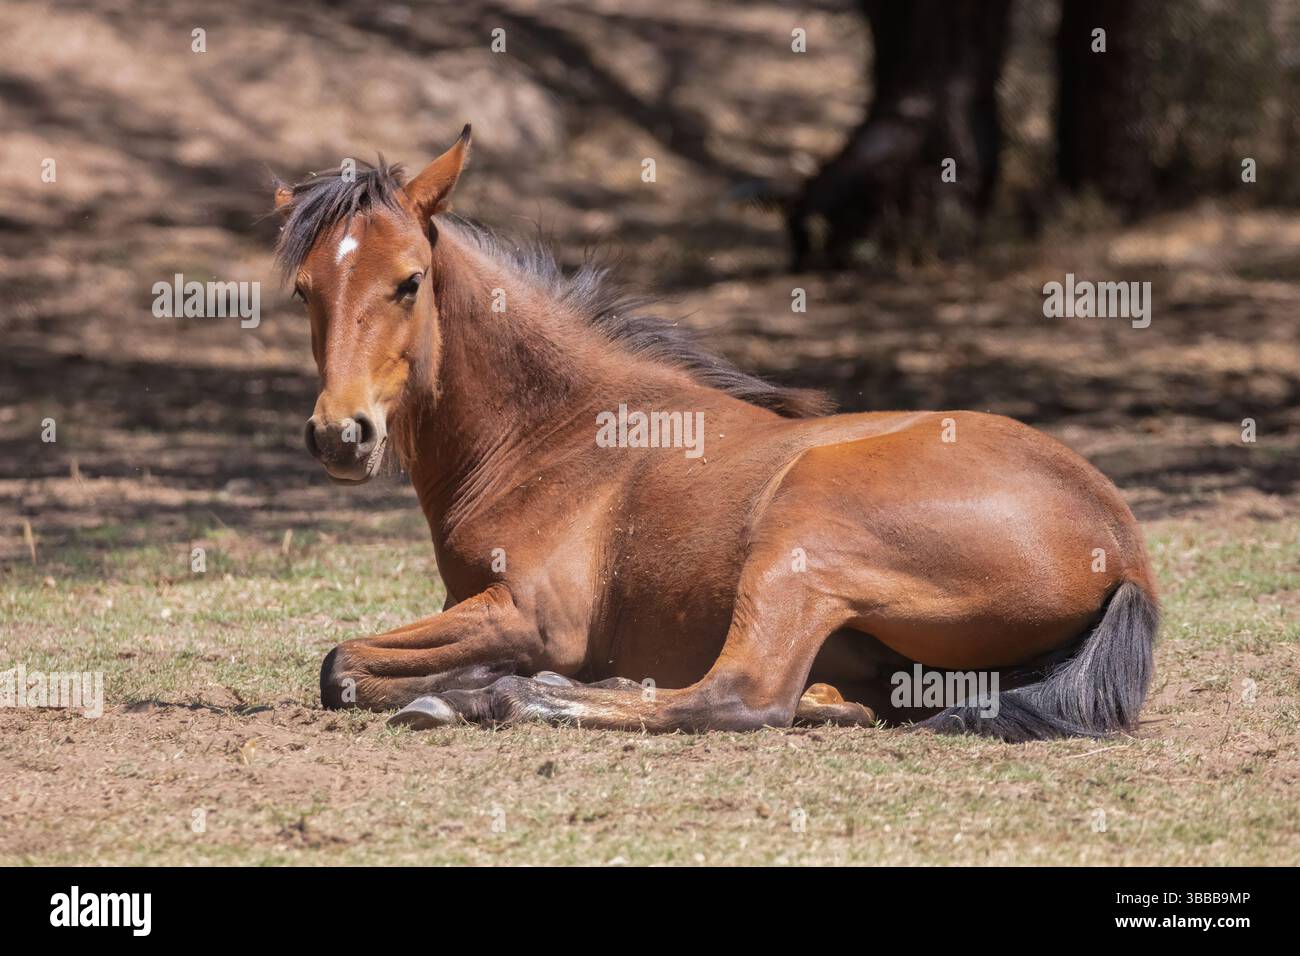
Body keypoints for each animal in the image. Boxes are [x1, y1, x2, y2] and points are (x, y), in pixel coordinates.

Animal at [271, 126, 1158, 741]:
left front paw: (460, 691)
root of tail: (1124, 554)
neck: (554, 432)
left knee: (742, 697)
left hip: (803, 534)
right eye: (304, 291)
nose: (341, 435)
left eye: (409, 281)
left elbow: (339, 663)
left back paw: (520, 697)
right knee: (823, 700)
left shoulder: (531, 616)